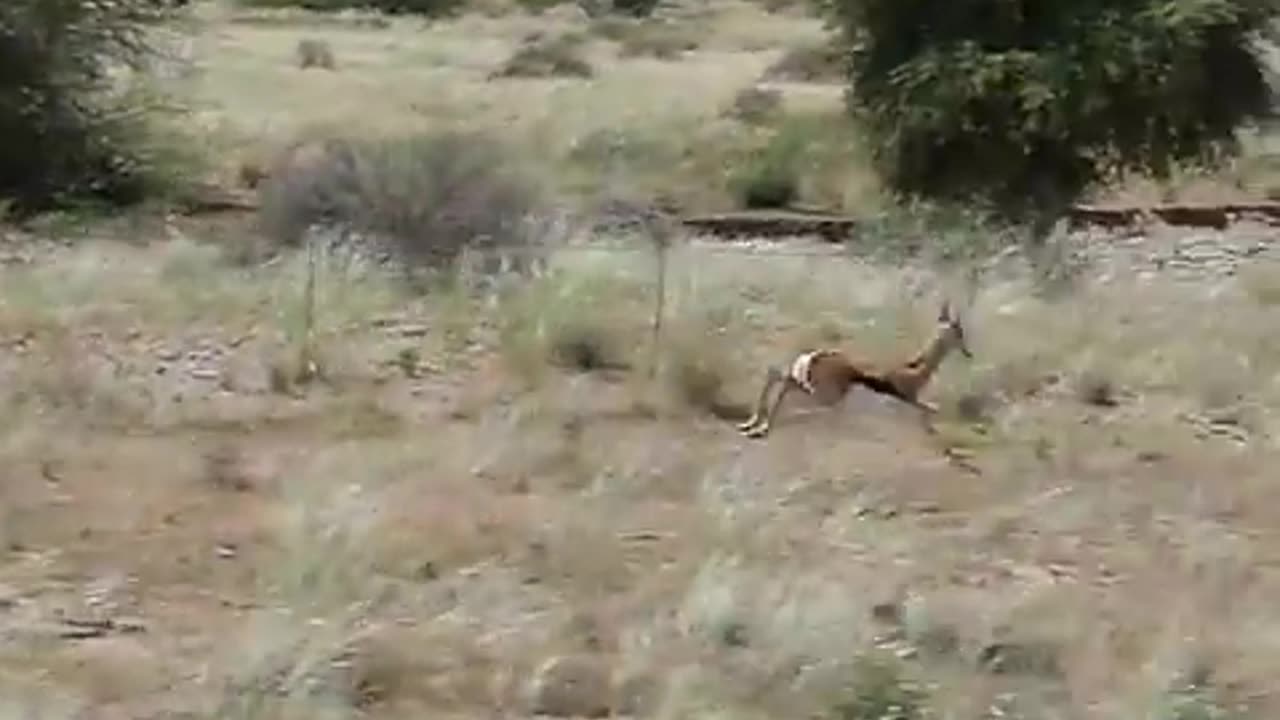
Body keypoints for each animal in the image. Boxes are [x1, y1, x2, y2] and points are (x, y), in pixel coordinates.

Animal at [742, 298, 967, 438]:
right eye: (958, 332)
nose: (968, 352)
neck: (917, 369)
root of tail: (815, 356)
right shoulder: (910, 397)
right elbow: (931, 408)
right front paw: (932, 429)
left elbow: (931, 409)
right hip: (823, 394)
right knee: (783, 383)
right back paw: (759, 429)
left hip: (808, 384)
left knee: (776, 374)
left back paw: (750, 425)